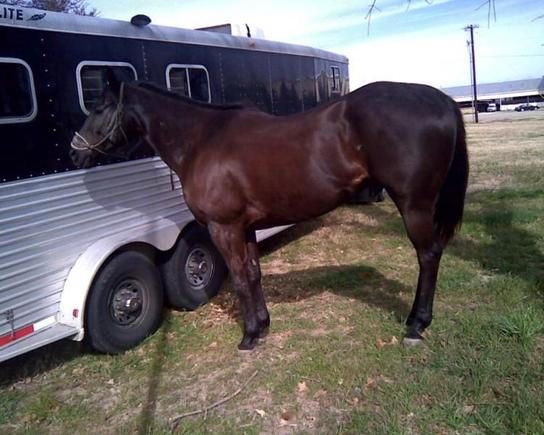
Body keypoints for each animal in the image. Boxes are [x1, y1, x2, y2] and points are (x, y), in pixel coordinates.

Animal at [71, 72, 468, 350]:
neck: (202, 140)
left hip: (415, 204)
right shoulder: (244, 227)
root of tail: (442, 100)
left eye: (98, 108)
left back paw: (417, 324)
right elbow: (253, 274)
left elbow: (240, 279)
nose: (76, 151)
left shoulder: (223, 228)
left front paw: (248, 336)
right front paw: (262, 325)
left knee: (428, 255)